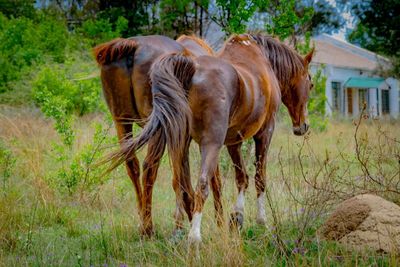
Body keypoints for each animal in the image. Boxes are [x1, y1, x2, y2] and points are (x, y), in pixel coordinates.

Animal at [94, 34, 214, 236]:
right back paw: (148, 228)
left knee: (132, 164)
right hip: (158, 128)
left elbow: (180, 178)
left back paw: (143, 221)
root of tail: (134, 46)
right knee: (149, 167)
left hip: (122, 121)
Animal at [111, 33, 314, 245]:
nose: (303, 126)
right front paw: (261, 222)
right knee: (201, 184)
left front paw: (237, 217)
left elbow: (242, 178)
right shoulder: (265, 133)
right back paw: (194, 236)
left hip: (180, 141)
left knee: (181, 183)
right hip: (210, 144)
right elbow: (259, 179)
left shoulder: (234, 141)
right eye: (311, 84)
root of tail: (191, 68)